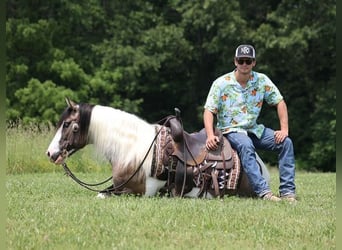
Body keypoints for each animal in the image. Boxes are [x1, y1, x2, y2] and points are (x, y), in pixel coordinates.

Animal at [46, 98, 270, 198]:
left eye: (67, 124)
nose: (50, 153)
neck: (130, 150)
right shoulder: (116, 187)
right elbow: (101, 193)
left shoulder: (136, 192)